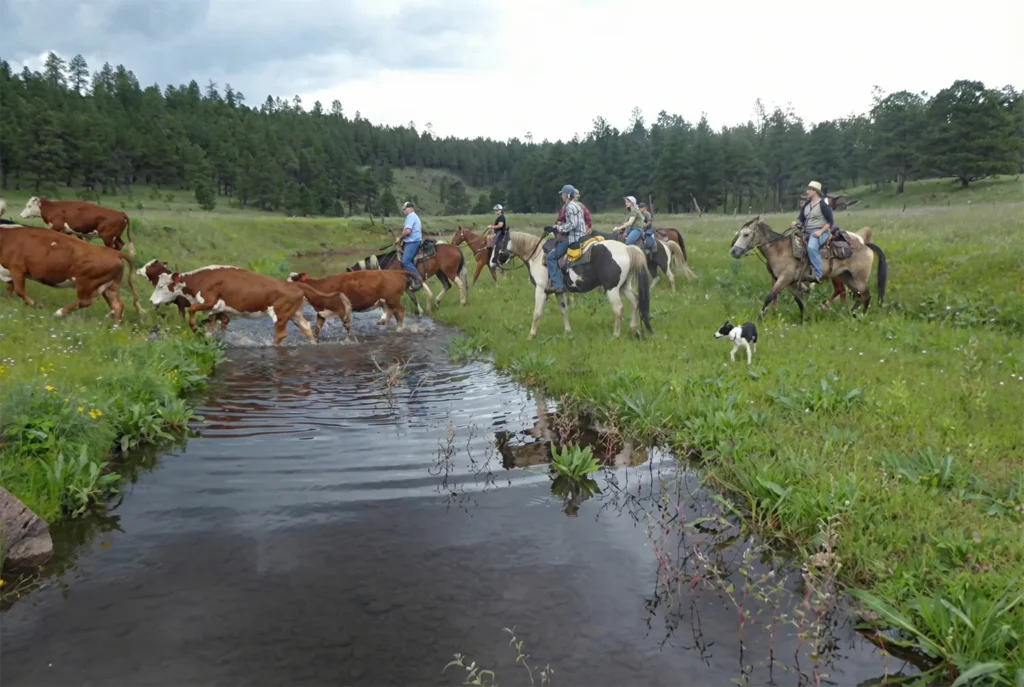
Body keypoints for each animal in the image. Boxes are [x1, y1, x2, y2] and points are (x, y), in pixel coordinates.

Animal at [0, 225, 144, 324]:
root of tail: (114, 252)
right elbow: (9, 290)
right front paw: (9, 304)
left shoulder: (17, 269)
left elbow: (19, 290)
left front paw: (37, 305)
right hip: (110, 286)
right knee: (117, 305)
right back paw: (115, 327)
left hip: (86, 283)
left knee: (85, 301)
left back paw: (59, 313)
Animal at [145, 264, 355, 345]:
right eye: (156, 284)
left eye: (162, 285)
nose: (151, 301)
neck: (201, 280)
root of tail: (294, 284)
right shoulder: (216, 308)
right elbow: (213, 324)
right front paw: (207, 335)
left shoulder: (210, 301)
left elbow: (192, 310)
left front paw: (195, 327)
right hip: (294, 313)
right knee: (307, 327)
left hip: (281, 313)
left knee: (281, 334)